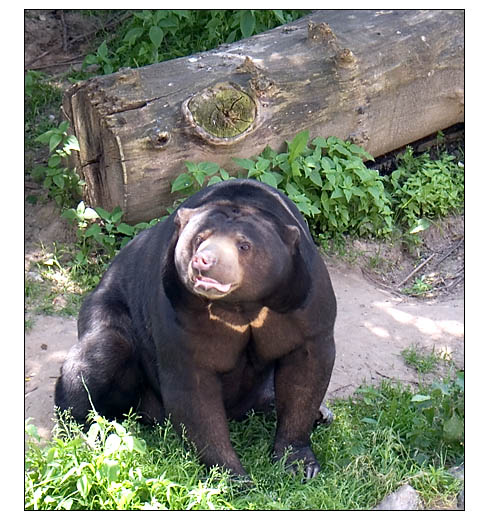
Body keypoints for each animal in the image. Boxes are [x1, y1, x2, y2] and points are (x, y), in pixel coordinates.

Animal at [55, 178, 336, 479]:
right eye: (199, 239)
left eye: (244, 245)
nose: (205, 261)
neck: (240, 306)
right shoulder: (179, 312)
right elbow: (193, 391)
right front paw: (232, 475)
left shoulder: (303, 301)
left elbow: (306, 370)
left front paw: (299, 462)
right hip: (108, 311)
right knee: (100, 354)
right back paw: (79, 432)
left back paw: (319, 413)